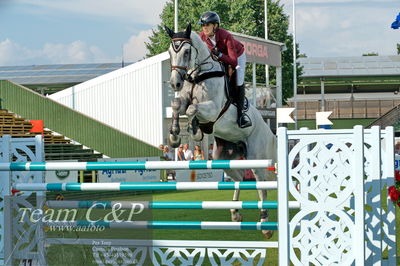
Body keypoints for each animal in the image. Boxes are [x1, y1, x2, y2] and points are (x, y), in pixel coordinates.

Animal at [164, 23, 276, 238]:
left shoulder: (213, 109)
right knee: (239, 178)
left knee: (262, 186)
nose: (175, 83)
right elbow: (176, 105)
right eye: (169, 52)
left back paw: (265, 224)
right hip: (222, 157)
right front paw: (174, 136)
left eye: (187, 51)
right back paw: (235, 213)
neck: (198, 76)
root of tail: (270, 132)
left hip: (256, 157)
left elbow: (192, 109)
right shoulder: (183, 100)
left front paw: (195, 130)